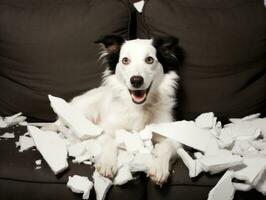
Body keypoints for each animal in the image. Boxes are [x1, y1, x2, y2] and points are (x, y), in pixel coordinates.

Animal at [70, 35, 183, 185]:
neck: (139, 108)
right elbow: (109, 140)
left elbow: (167, 146)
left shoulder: (175, 138)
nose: (136, 80)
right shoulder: (102, 128)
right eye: (125, 60)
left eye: (149, 59)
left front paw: (159, 167)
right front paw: (107, 163)